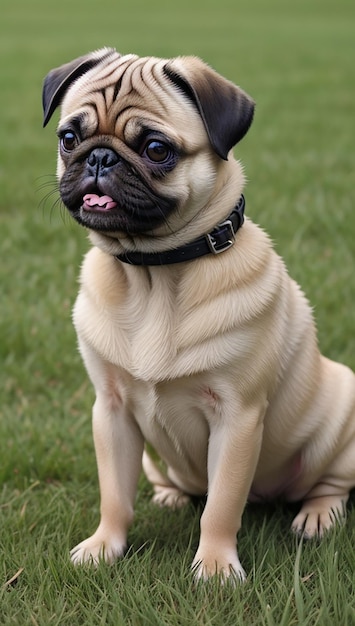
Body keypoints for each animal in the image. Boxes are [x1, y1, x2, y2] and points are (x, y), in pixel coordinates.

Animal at [42, 48, 355, 580]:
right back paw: (170, 494)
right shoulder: (111, 410)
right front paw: (105, 547)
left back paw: (316, 517)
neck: (153, 273)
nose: (100, 157)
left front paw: (215, 568)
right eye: (69, 139)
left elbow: (222, 505)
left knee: (329, 483)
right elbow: (114, 496)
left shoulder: (237, 416)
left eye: (155, 149)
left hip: (338, 413)